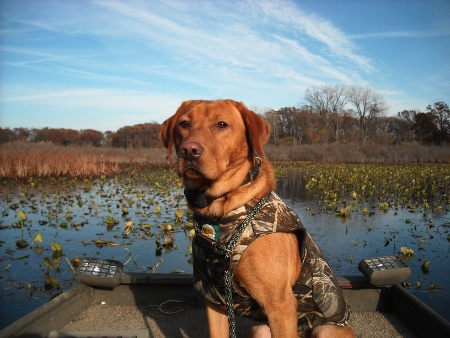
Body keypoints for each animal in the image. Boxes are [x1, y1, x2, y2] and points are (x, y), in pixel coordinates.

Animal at [159, 100, 356, 338]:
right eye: (184, 124)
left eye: (222, 124)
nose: (189, 150)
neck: (219, 211)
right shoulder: (214, 298)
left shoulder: (280, 304)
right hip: (259, 330)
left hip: (325, 330)